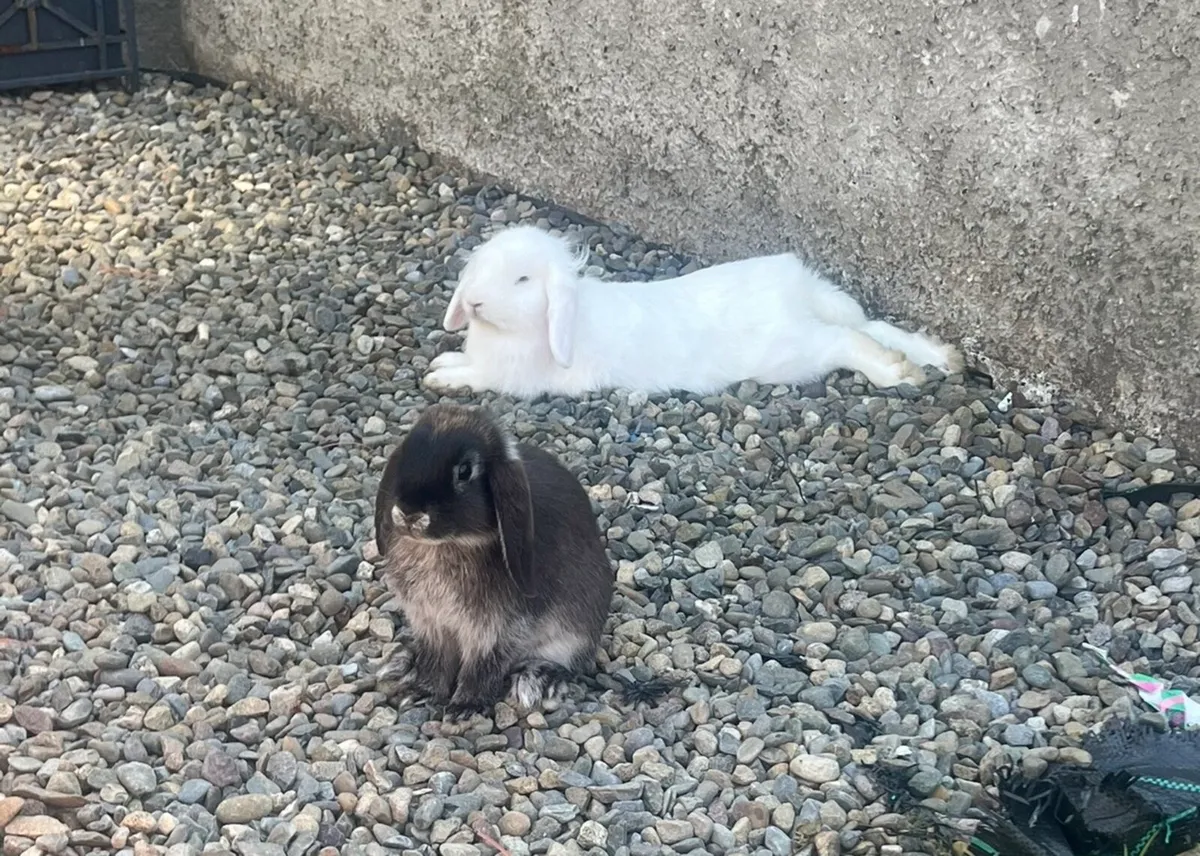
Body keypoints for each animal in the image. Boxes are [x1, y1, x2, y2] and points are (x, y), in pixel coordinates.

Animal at [372, 402, 615, 721]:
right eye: (407, 452)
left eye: (465, 471)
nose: (410, 514)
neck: (452, 544)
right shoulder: (431, 624)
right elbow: (436, 661)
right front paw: (421, 692)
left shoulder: (494, 632)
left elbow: (482, 668)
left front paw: (464, 707)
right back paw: (403, 663)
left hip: (576, 629)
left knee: (570, 663)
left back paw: (537, 679)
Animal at [422, 224, 964, 398]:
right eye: (482, 265)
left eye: (522, 280)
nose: (474, 301)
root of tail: (794, 291)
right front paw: (443, 362)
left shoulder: (513, 379)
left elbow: (475, 377)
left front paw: (440, 378)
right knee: (872, 326)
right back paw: (938, 359)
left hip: (791, 353)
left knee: (847, 342)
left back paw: (895, 372)